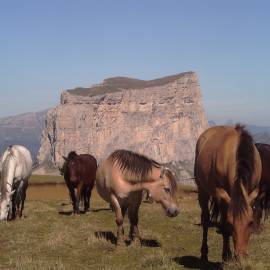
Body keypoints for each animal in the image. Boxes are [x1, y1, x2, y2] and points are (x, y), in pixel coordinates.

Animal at [194, 125, 262, 262]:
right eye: (231, 224)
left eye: (251, 222)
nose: (241, 257)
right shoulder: (223, 196)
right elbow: (224, 225)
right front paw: (226, 254)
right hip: (202, 190)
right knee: (205, 219)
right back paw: (204, 253)